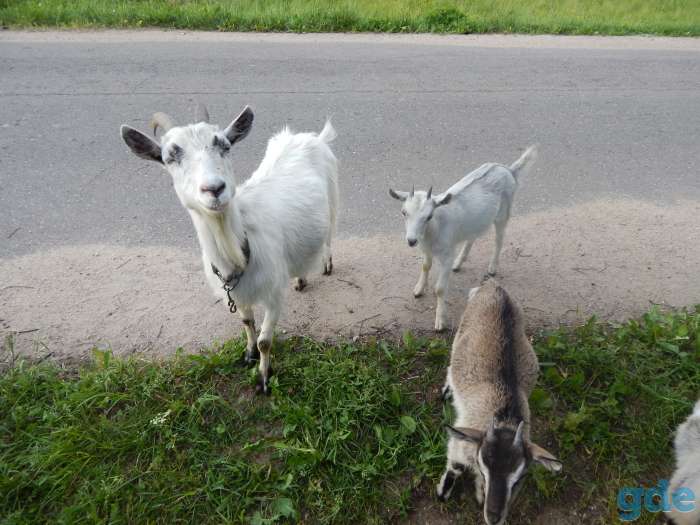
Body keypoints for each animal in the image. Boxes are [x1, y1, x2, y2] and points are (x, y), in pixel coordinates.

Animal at [120, 104, 338, 395]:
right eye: (170, 157)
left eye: (224, 145)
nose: (214, 188)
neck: (239, 250)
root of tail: (312, 137)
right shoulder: (236, 293)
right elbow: (247, 323)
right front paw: (248, 355)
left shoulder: (273, 293)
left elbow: (266, 341)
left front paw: (264, 379)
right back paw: (301, 279)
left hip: (333, 195)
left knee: (330, 234)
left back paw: (327, 263)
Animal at [389, 146, 537, 332]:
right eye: (404, 212)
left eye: (429, 216)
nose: (411, 240)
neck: (433, 230)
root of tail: (508, 170)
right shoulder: (426, 249)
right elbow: (425, 266)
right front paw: (418, 290)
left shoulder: (446, 254)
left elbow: (440, 289)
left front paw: (440, 321)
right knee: (472, 236)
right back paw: (458, 263)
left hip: (503, 213)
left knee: (499, 238)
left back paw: (492, 267)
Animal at [436, 280, 561, 525]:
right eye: (484, 468)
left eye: (519, 478)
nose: (493, 517)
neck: (505, 416)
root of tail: (493, 286)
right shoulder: (463, 438)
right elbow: (456, 465)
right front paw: (444, 491)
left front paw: (479, 494)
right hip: (461, 333)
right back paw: (448, 388)